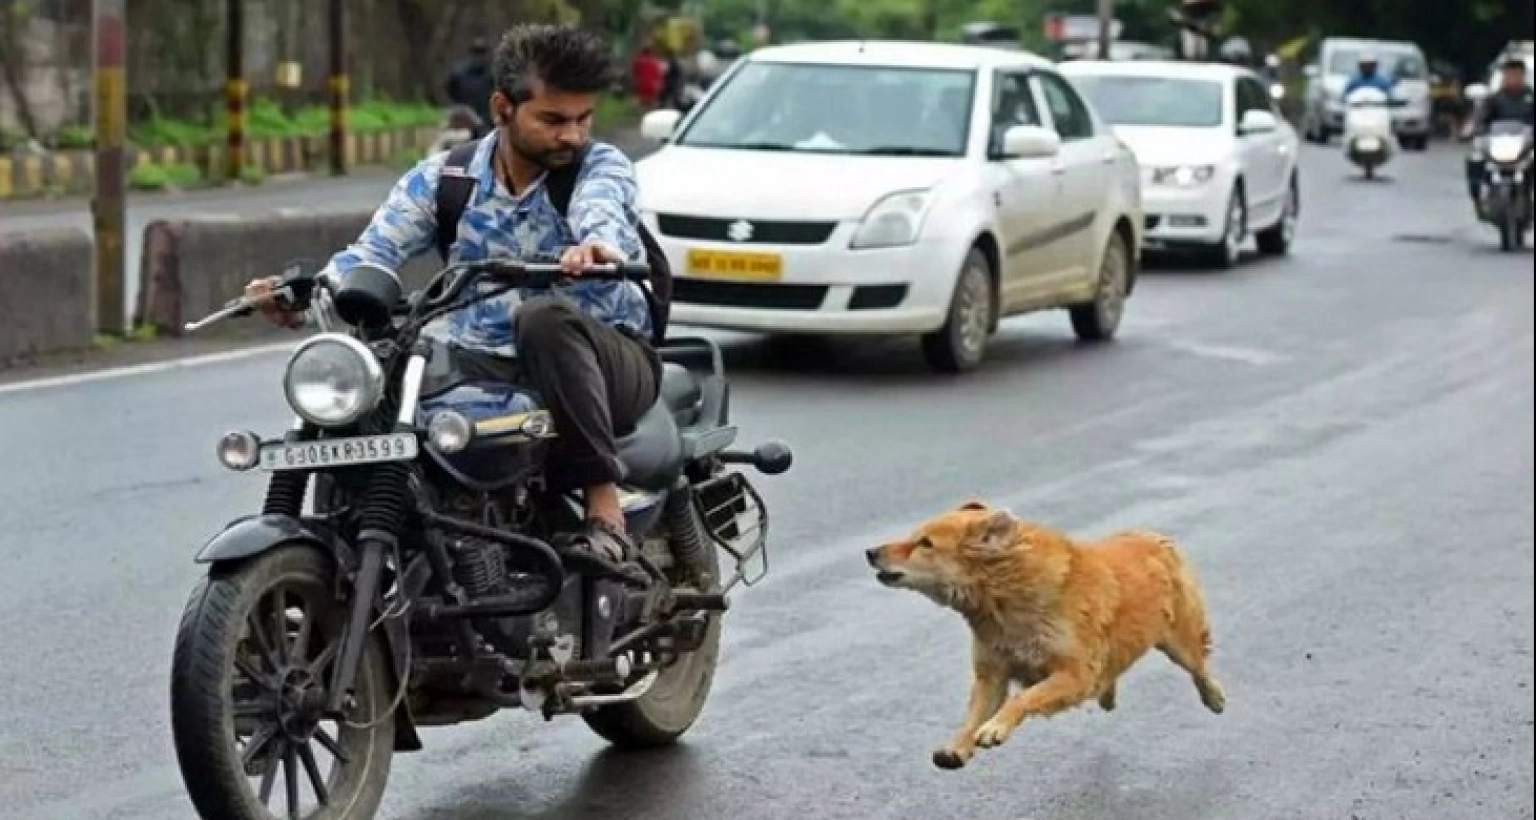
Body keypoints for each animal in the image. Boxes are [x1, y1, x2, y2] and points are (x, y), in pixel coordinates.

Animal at [866, 500, 1222, 770]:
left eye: (925, 544)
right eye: (915, 537)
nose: (870, 551)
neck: (1002, 598)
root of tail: (1152, 536)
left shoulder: (1074, 673)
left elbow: (1023, 698)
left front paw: (996, 727)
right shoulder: (992, 673)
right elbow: (975, 713)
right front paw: (958, 746)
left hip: (1180, 642)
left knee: (1199, 666)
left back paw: (1214, 697)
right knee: (1110, 672)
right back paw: (1107, 694)